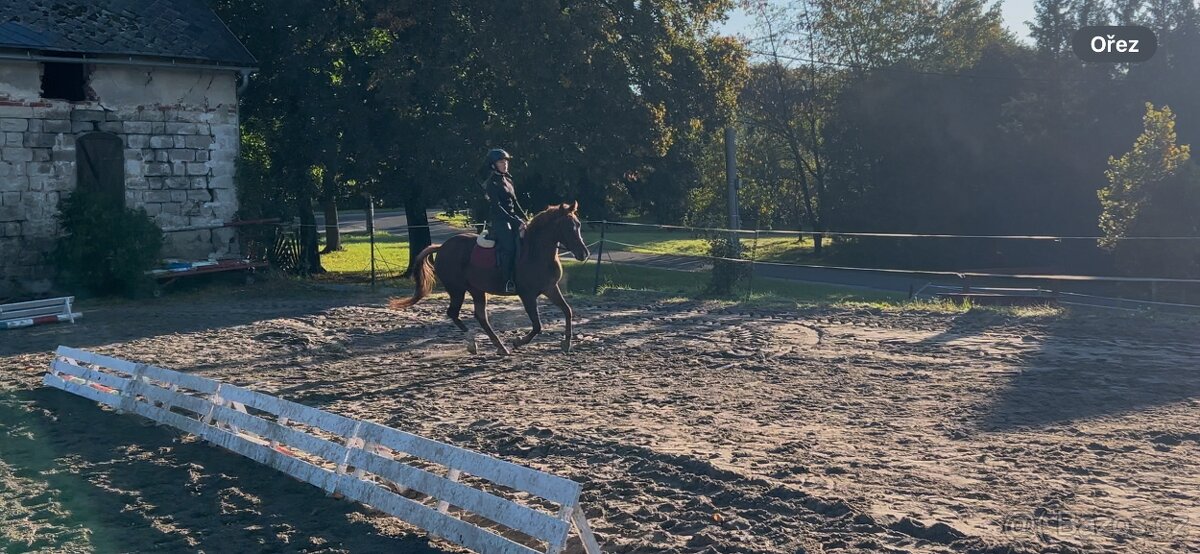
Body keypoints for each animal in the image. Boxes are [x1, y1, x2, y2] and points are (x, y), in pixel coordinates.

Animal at [389, 201, 590, 355]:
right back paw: (473, 343)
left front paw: (566, 343)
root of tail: (443, 247)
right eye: (568, 227)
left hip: (476, 290)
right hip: (457, 289)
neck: (536, 252)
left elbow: (567, 311)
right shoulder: (527, 294)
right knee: (454, 313)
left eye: (579, 225)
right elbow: (537, 325)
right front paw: (517, 341)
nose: (584, 254)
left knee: (480, 316)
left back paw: (500, 347)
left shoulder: (550, 288)